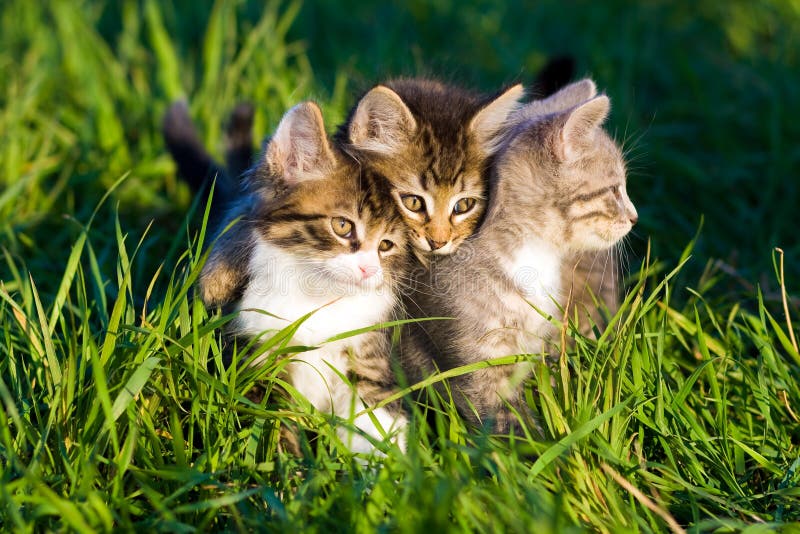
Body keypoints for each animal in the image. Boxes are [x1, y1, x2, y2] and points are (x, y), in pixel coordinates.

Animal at [196, 102, 410, 454]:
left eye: (386, 245)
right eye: (342, 226)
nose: (368, 269)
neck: (316, 298)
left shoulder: (368, 354)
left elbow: (374, 418)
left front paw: (384, 465)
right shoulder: (257, 353)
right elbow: (271, 422)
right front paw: (287, 465)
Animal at [400, 82, 636, 436]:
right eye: (614, 189)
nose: (635, 217)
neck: (537, 258)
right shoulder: (478, 357)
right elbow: (506, 419)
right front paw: (540, 445)